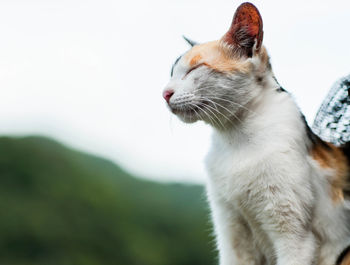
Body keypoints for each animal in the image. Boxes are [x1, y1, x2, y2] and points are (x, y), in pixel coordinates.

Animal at [163, 2, 350, 264]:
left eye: (193, 70)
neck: (234, 141)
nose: (164, 93)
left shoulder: (295, 238)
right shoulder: (231, 234)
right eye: (171, 73)